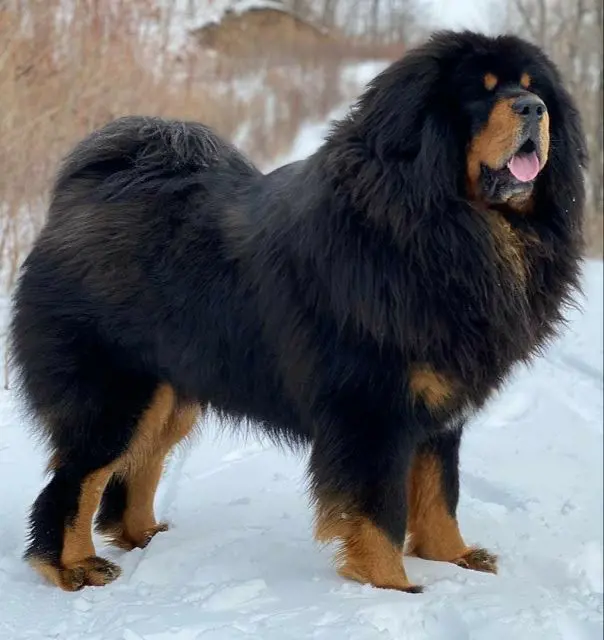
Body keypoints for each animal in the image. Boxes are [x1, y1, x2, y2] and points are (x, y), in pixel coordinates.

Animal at [9, 28, 584, 592]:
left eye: (533, 88)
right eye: (480, 94)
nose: (533, 109)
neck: (440, 227)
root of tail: (82, 197)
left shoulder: (440, 407)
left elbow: (440, 493)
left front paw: (454, 560)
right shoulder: (371, 410)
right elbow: (380, 509)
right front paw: (393, 587)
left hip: (173, 391)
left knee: (138, 464)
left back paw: (143, 536)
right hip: (118, 394)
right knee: (76, 478)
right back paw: (72, 566)